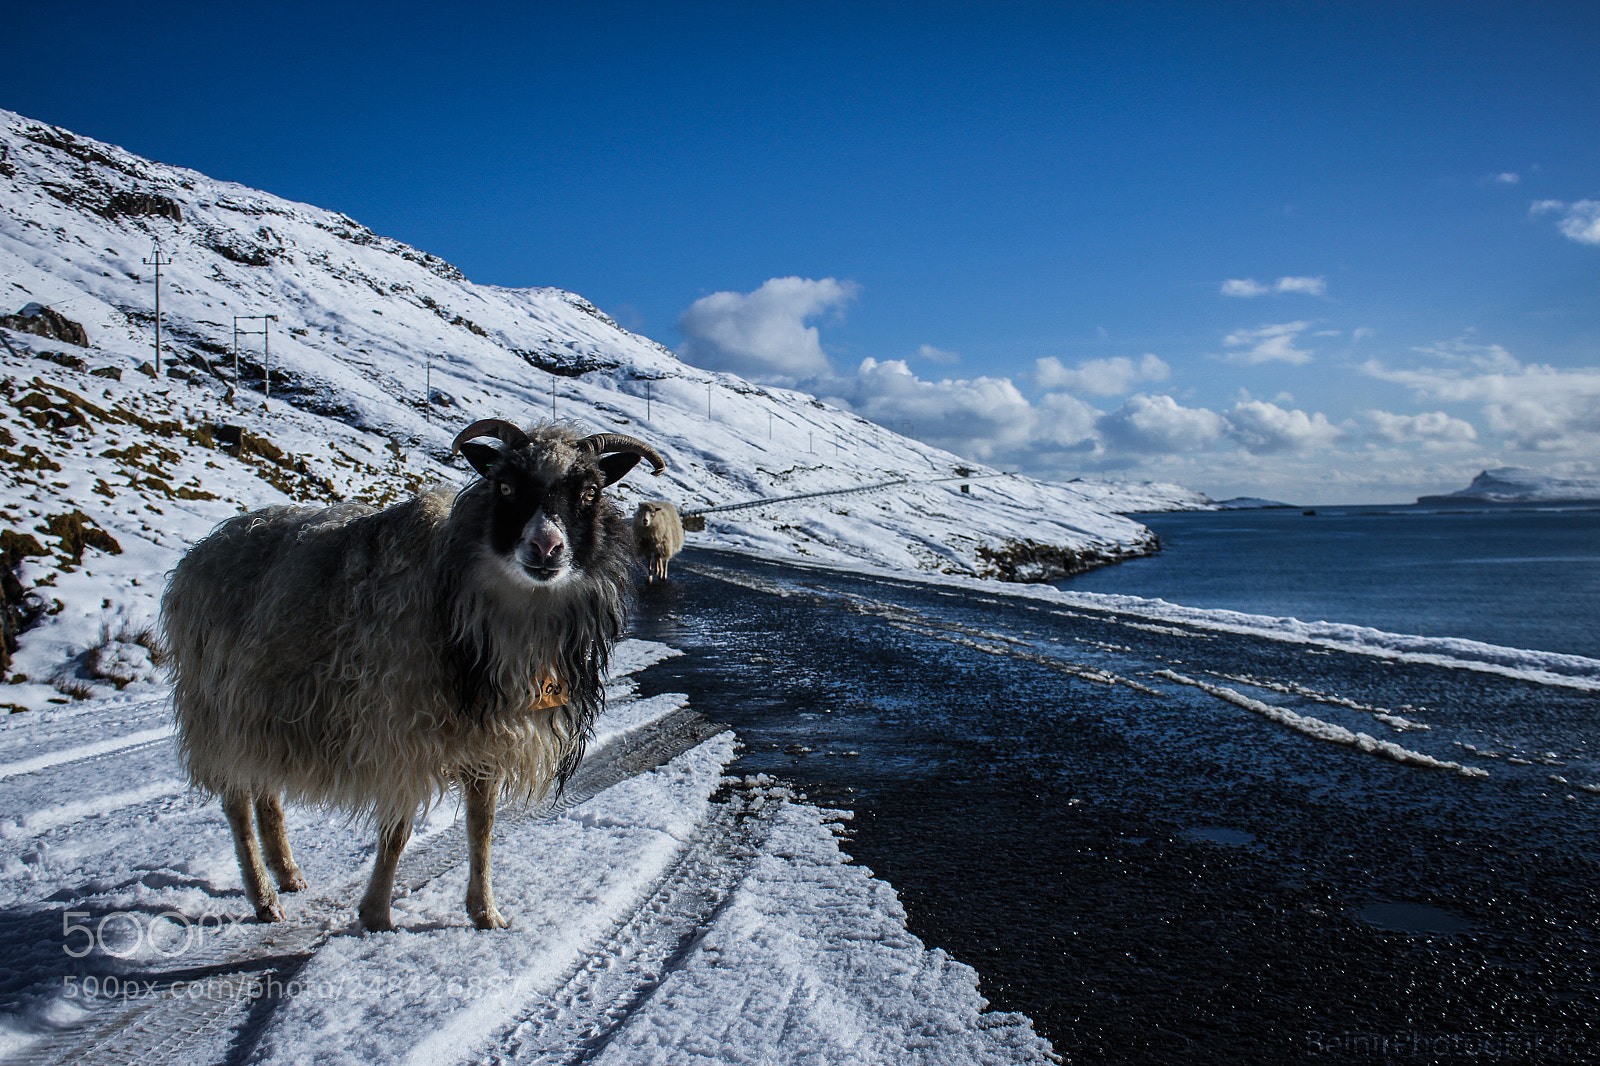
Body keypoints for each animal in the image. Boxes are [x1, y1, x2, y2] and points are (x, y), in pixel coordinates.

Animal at [161, 419, 665, 931]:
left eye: (589, 492)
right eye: (505, 486)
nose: (545, 547)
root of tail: (209, 545)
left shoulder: (487, 734)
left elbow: (482, 826)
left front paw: (485, 913)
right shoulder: (401, 727)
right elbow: (398, 829)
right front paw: (377, 915)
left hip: (262, 708)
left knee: (266, 794)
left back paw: (288, 873)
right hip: (217, 707)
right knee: (237, 801)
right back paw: (263, 897)